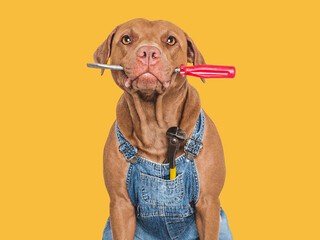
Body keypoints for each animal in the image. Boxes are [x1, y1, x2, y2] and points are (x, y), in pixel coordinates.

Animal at [94, 17, 231, 239]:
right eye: (126, 39)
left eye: (170, 40)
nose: (148, 52)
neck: (154, 123)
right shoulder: (120, 206)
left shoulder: (208, 204)